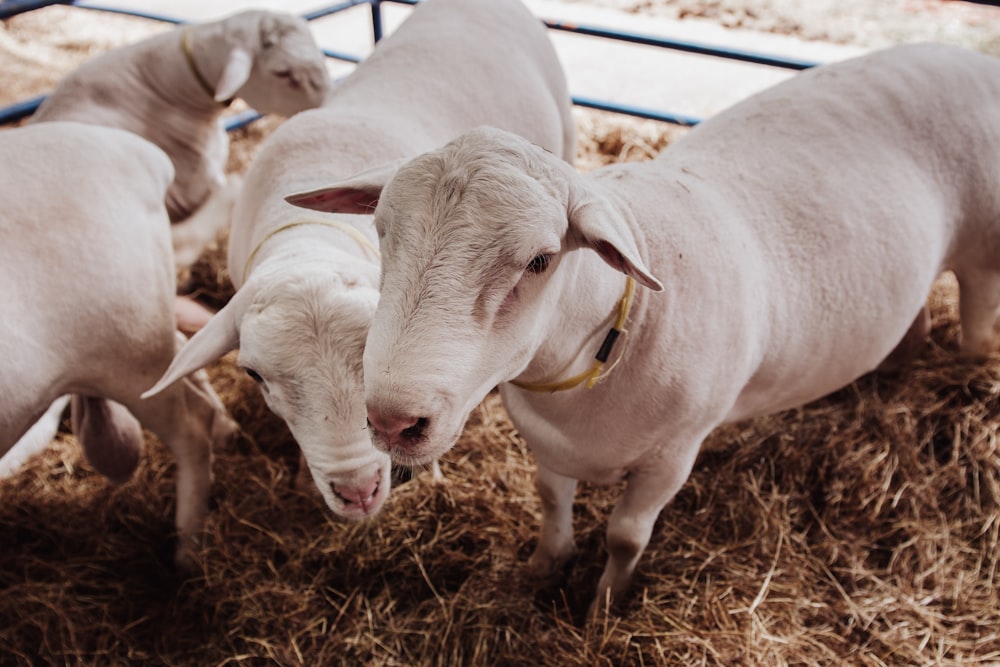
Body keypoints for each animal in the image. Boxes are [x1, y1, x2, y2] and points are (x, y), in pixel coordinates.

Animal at [0, 122, 235, 572]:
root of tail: (136, 153)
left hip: (128, 348)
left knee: (191, 426)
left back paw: (186, 554)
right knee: (188, 355)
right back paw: (228, 431)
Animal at [286, 43, 1000, 616]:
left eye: (540, 260)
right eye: (381, 232)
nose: (391, 422)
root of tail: (964, 54)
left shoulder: (672, 455)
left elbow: (626, 536)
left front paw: (603, 609)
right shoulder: (548, 446)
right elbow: (550, 503)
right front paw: (542, 570)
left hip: (983, 255)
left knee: (976, 326)